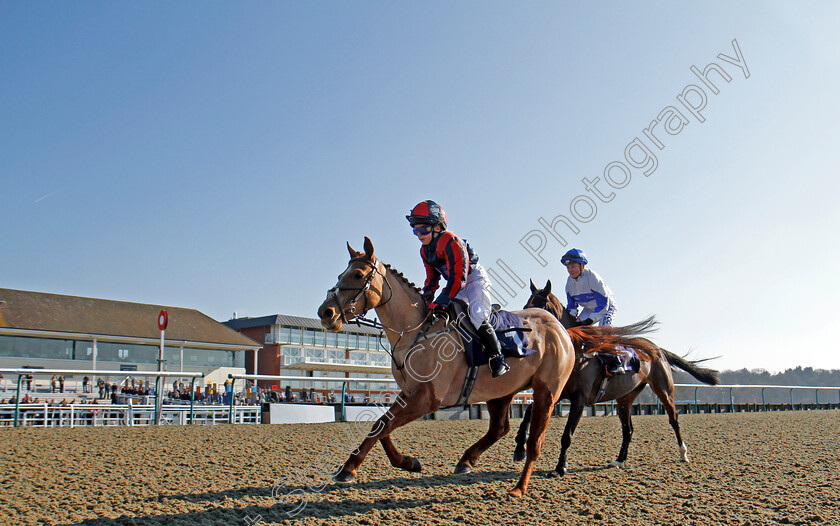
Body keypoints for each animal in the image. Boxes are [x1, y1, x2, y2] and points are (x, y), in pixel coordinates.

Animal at [318, 239, 648, 500]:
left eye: (358, 274)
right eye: (341, 274)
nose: (326, 312)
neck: (417, 333)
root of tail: (561, 329)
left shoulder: (427, 398)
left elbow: (382, 425)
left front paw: (348, 469)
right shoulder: (409, 392)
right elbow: (381, 426)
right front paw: (408, 462)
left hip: (547, 392)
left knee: (534, 441)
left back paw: (518, 486)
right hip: (502, 391)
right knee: (500, 428)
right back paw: (467, 460)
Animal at [512, 280, 720, 478]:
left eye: (540, 307)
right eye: (525, 305)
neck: (575, 349)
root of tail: (657, 349)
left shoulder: (579, 398)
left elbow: (567, 435)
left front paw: (560, 468)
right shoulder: (558, 392)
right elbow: (528, 411)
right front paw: (519, 447)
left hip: (664, 389)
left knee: (674, 419)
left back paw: (683, 453)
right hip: (625, 397)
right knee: (628, 429)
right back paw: (620, 460)